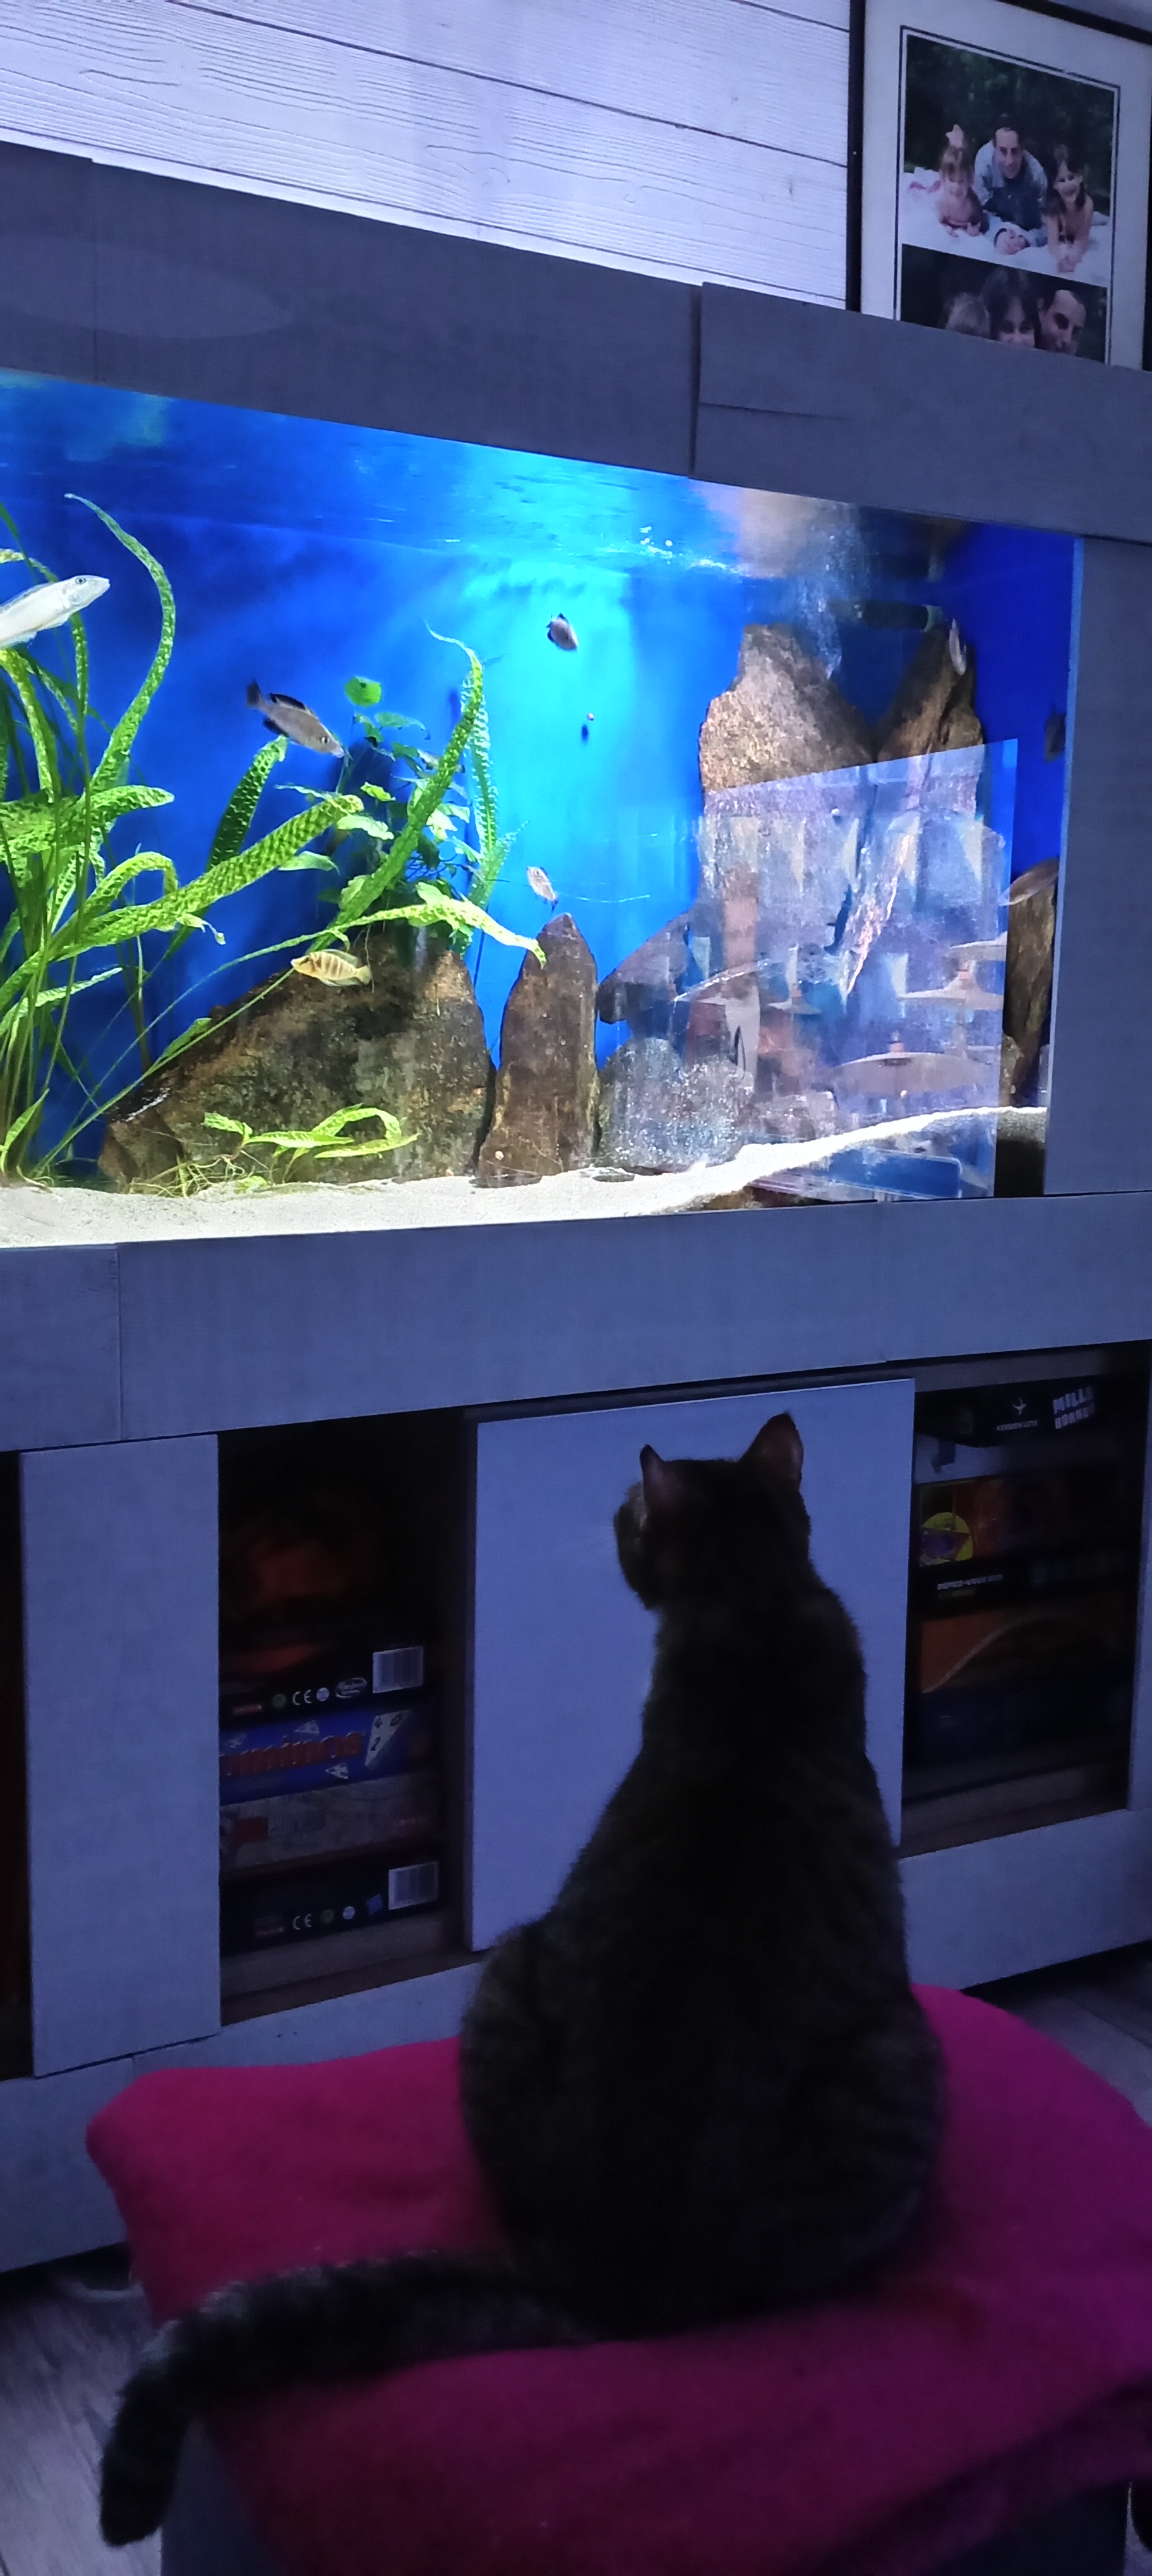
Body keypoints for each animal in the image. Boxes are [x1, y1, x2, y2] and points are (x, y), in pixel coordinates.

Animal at [101, 1413, 943, 2544]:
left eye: (627, 1515)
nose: (610, 1512)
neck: (753, 1595)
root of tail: (603, 2270)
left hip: (518, 1970)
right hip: (879, 2040)